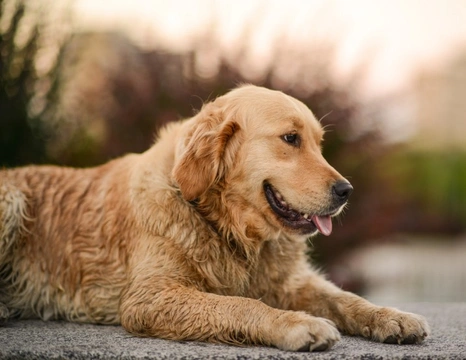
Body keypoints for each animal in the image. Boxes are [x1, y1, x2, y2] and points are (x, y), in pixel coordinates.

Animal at [0, 85, 430, 352]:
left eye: (319, 143)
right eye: (290, 139)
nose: (346, 191)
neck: (226, 225)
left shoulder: (290, 282)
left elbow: (345, 298)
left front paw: (392, 318)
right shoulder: (148, 298)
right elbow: (241, 304)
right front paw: (296, 324)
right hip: (12, 199)